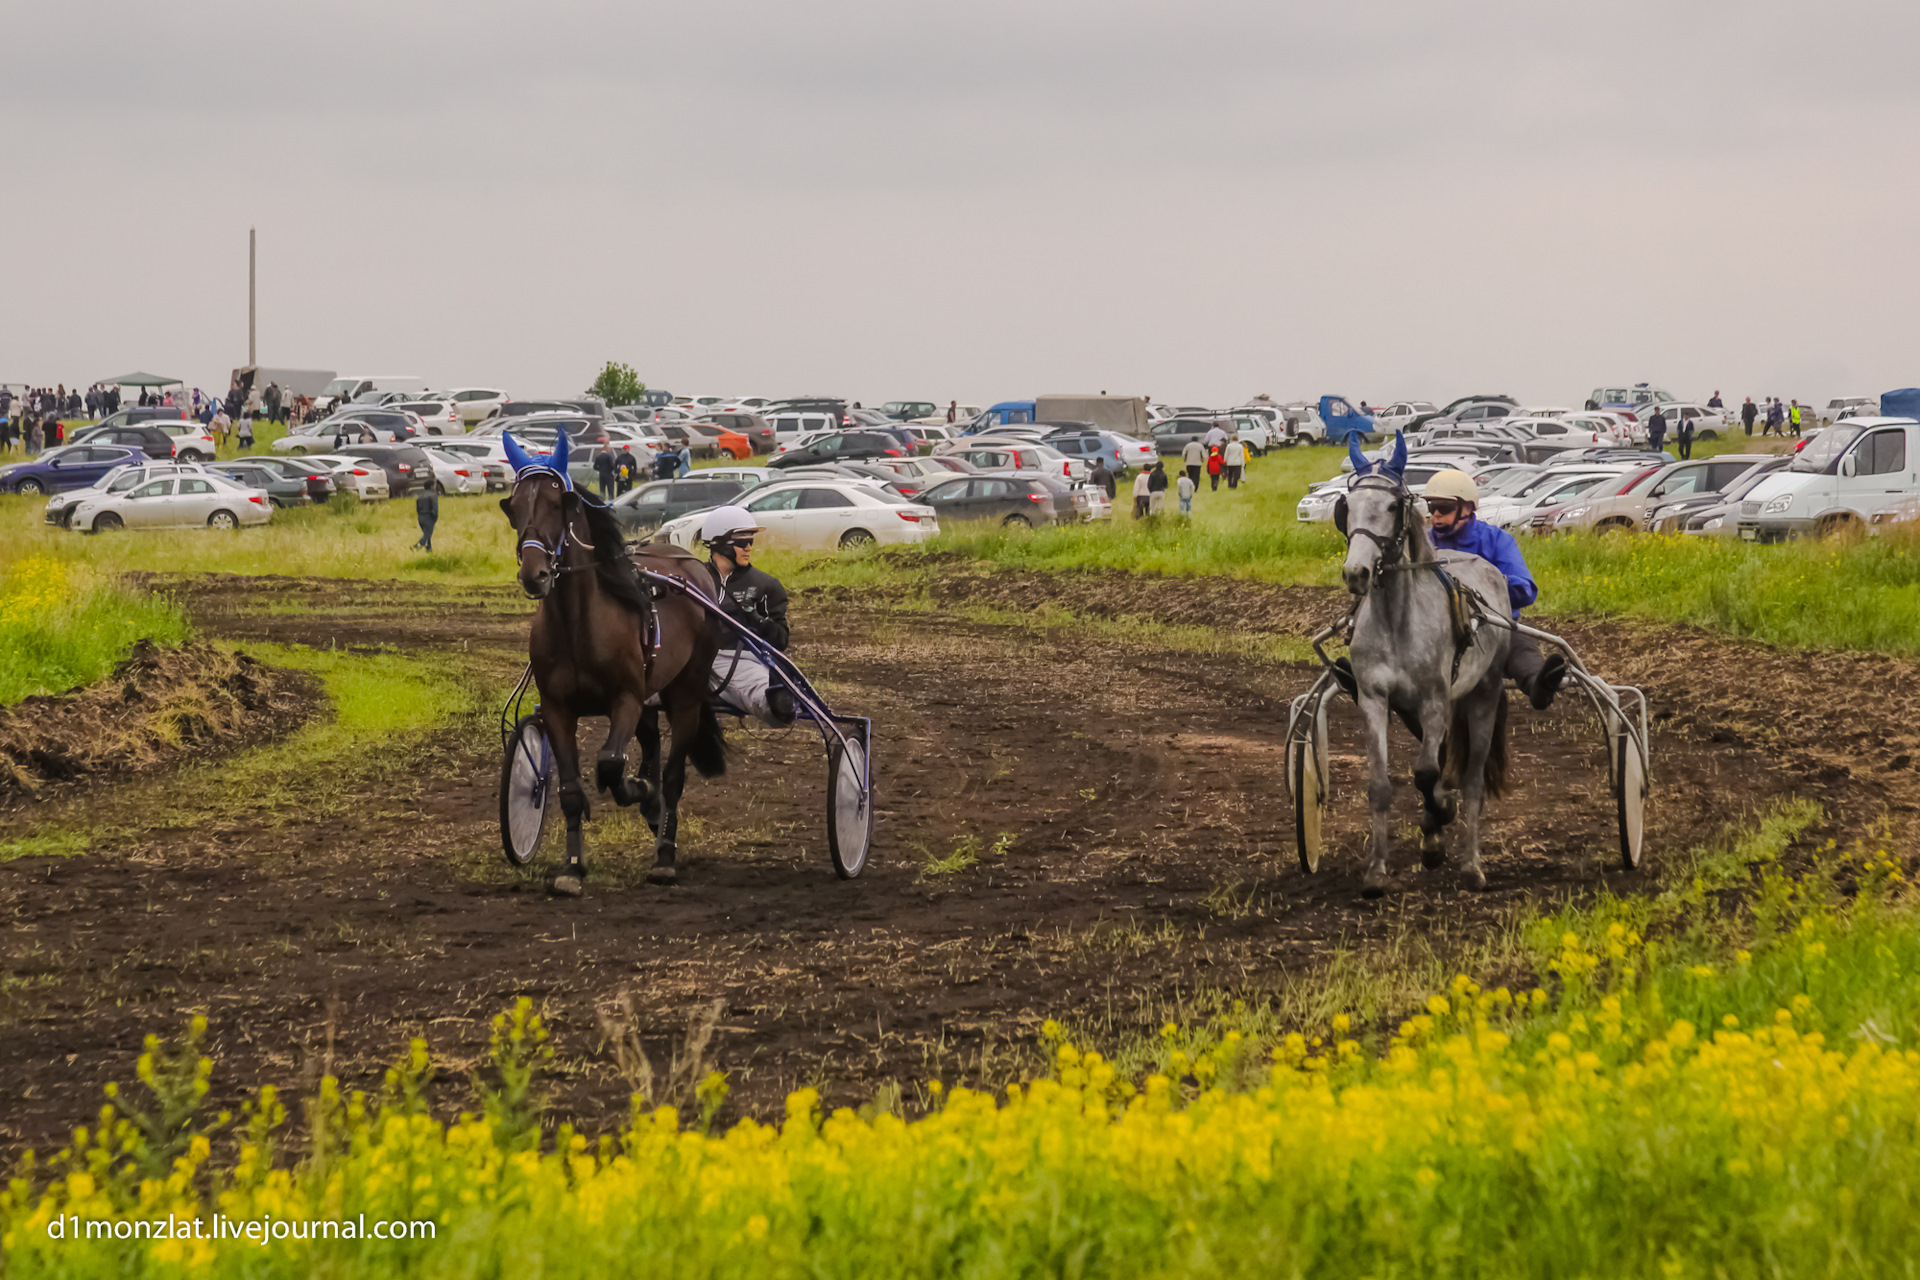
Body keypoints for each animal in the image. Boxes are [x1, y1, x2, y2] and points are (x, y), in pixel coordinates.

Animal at [503, 445, 725, 898]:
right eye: (514, 507)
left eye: (557, 504)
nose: (534, 575)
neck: (578, 624)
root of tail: (693, 565)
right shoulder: (558, 709)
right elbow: (571, 790)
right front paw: (572, 868)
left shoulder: (625, 699)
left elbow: (609, 763)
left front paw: (642, 793)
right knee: (652, 739)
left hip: (686, 691)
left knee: (673, 773)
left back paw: (664, 853)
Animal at [1336, 435, 1512, 898]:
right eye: (1348, 504)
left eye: (1392, 505)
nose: (1356, 572)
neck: (1397, 621)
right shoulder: (1375, 699)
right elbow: (1381, 785)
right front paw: (1377, 871)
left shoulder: (1435, 700)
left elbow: (1426, 773)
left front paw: (1438, 823)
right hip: (1415, 710)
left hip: (1483, 694)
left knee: (1471, 780)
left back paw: (1471, 863)